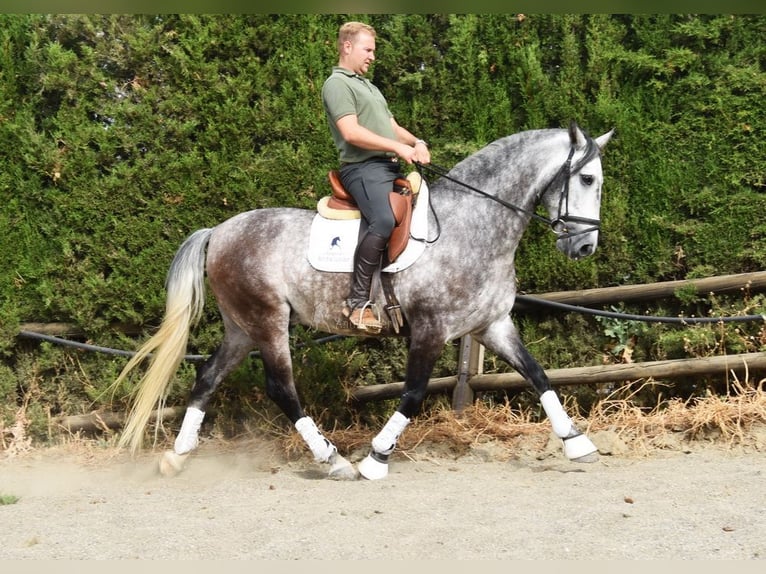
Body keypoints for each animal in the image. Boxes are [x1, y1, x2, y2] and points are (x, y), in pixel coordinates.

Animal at [114, 122, 614, 480]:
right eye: (588, 178)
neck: (472, 225)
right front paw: (376, 459)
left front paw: (578, 443)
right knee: (282, 389)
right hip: (268, 320)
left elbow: (538, 375)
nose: (585, 247)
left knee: (207, 377)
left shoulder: (492, 326)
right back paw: (332, 460)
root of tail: (219, 231)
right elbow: (413, 393)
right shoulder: (430, 329)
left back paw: (178, 456)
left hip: (241, 326)